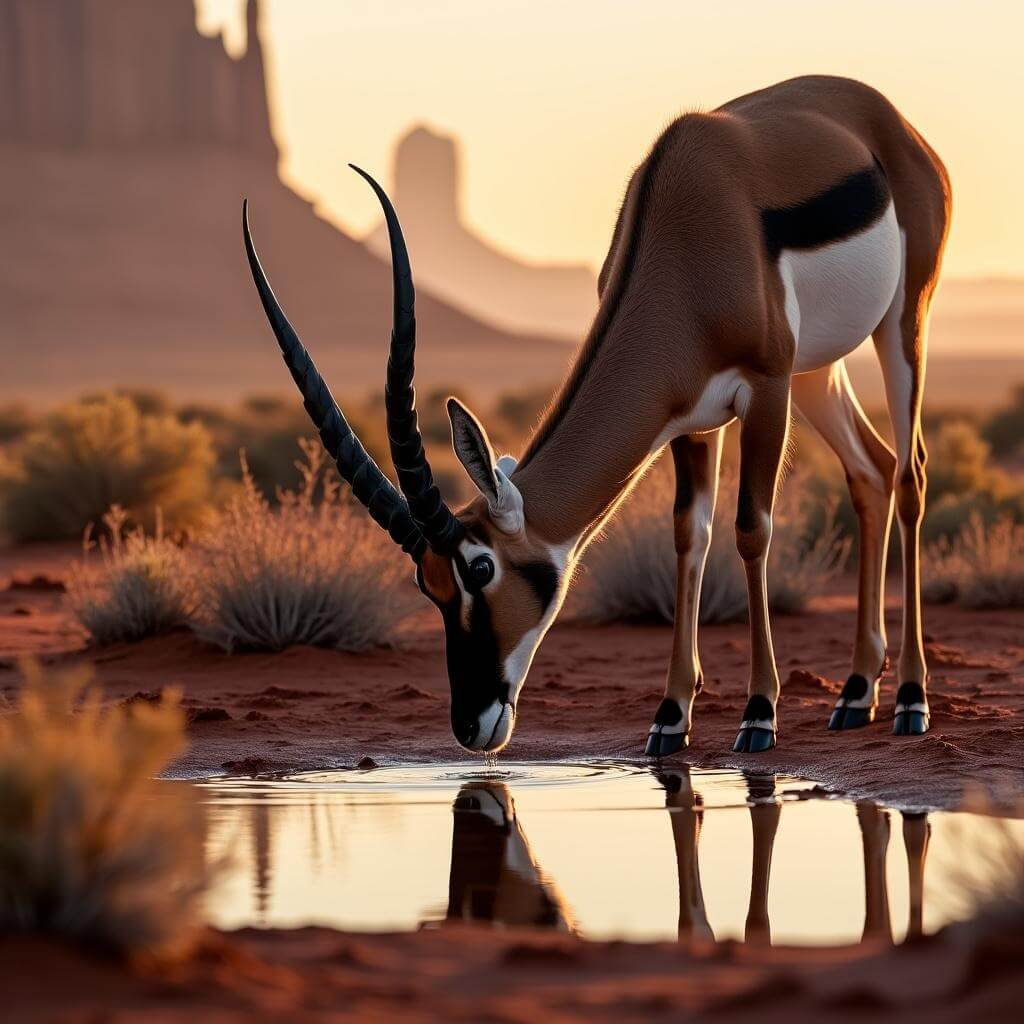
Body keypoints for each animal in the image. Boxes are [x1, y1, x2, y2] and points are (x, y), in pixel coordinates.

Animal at [242, 75, 950, 756]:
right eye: (426, 583)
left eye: (480, 567)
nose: (472, 725)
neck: (693, 231)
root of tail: (888, 119)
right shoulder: (690, 419)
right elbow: (688, 535)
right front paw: (670, 718)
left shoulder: (763, 391)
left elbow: (751, 531)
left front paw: (758, 714)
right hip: (816, 373)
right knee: (872, 469)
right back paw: (855, 694)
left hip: (896, 326)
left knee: (911, 470)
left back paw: (910, 702)